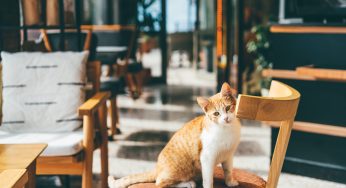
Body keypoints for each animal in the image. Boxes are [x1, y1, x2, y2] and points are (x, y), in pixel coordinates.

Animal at [108, 83, 241, 187]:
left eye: (228, 108)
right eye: (216, 114)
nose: (226, 119)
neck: (226, 130)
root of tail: (157, 167)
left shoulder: (228, 155)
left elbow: (228, 171)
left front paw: (230, 182)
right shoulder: (207, 158)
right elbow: (208, 180)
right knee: (160, 183)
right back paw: (188, 183)